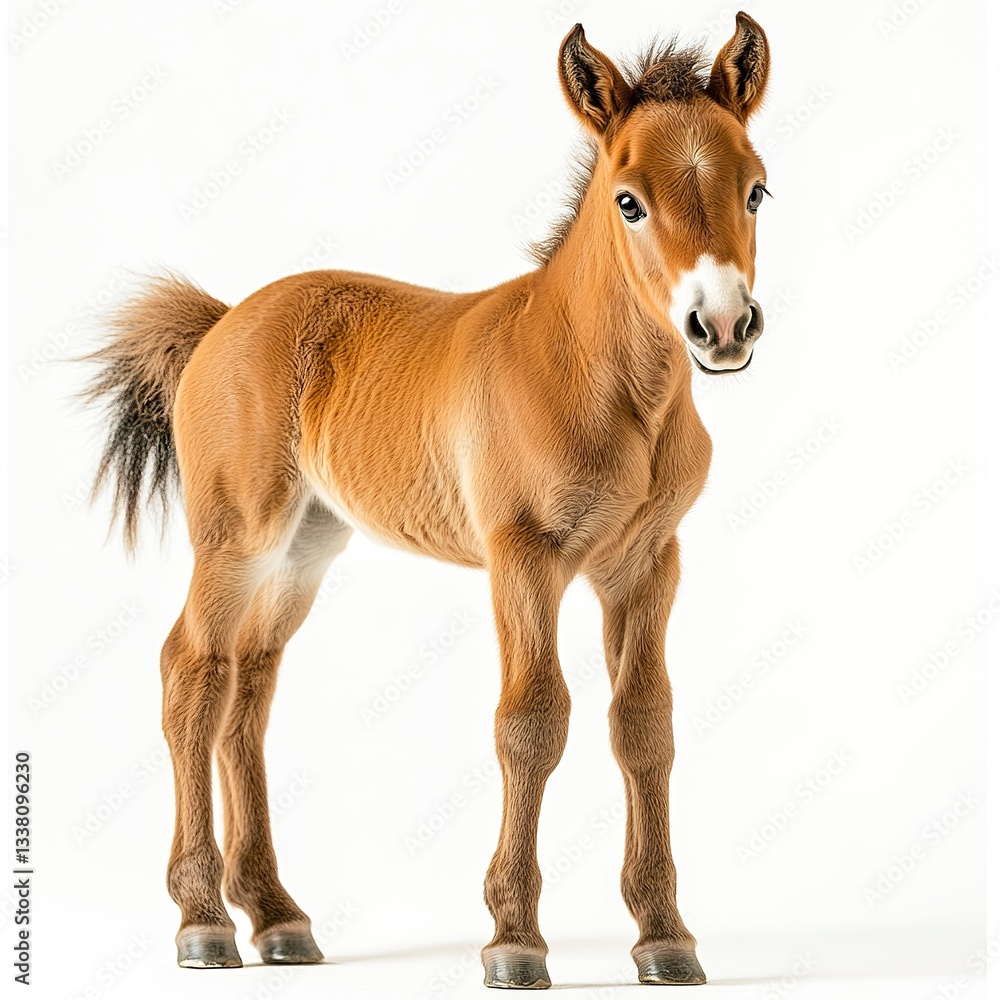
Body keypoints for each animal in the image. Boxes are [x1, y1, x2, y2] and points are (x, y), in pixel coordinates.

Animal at [85, 13, 771, 989]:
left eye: (756, 191)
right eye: (629, 201)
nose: (721, 327)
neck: (607, 389)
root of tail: (222, 320)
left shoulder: (647, 565)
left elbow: (645, 724)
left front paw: (665, 937)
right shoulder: (522, 557)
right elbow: (532, 720)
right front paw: (514, 941)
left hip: (306, 549)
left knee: (249, 690)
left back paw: (278, 917)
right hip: (238, 537)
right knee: (193, 672)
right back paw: (204, 923)